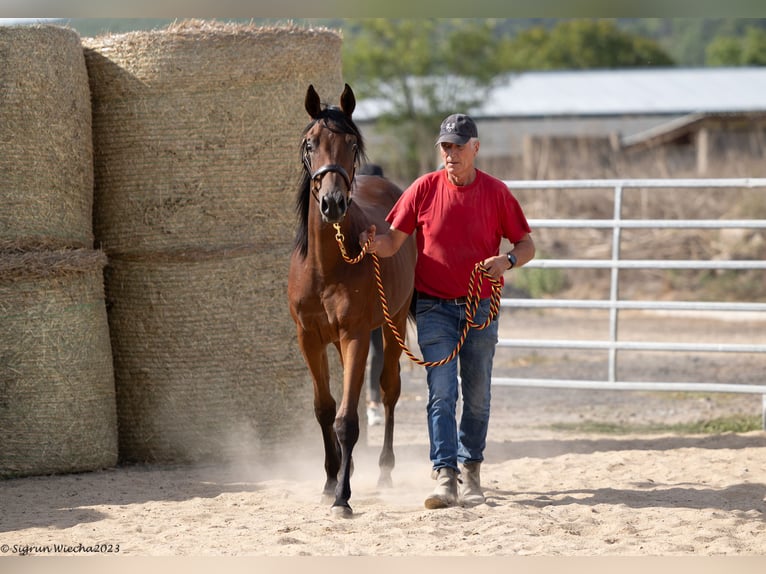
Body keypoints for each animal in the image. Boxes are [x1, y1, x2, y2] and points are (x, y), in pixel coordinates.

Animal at [288, 83, 416, 520]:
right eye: (309, 144)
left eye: (351, 143)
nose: (332, 203)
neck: (326, 267)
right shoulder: (308, 339)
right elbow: (325, 409)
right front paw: (330, 481)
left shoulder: (357, 335)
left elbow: (347, 419)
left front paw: (343, 497)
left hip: (394, 324)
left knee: (389, 391)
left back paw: (384, 471)